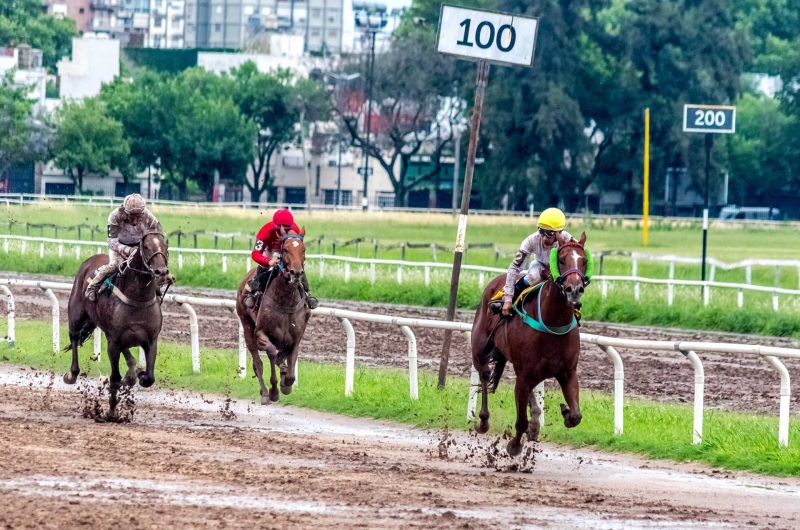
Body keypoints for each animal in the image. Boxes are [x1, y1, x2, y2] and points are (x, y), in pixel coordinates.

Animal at [234, 225, 310, 402]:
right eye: (286, 249)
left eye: (303, 249)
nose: (296, 273)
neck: (285, 301)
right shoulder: (261, 333)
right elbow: (272, 353)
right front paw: (275, 389)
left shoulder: (296, 337)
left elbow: (290, 369)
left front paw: (286, 384)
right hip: (246, 325)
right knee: (258, 364)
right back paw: (265, 393)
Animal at [468, 231, 592, 454]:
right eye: (561, 259)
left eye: (584, 260)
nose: (574, 289)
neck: (552, 322)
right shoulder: (523, 374)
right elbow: (520, 420)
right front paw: (514, 445)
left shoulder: (568, 372)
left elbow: (576, 416)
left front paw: (565, 411)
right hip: (480, 350)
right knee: (484, 374)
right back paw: (483, 421)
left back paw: (535, 422)